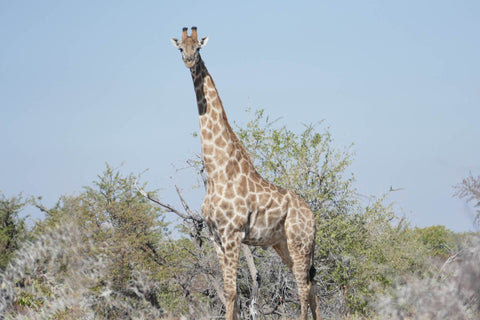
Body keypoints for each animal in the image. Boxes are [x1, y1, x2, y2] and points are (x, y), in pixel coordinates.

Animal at [171, 27, 320, 320]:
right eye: (180, 48)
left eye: (199, 48)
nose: (190, 60)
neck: (217, 171)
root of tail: (312, 216)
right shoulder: (216, 238)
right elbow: (232, 294)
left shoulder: (232, 234)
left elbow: (231, 293)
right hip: (282, 243)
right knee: (313, 287)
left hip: (299, 242)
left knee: (303, 288)